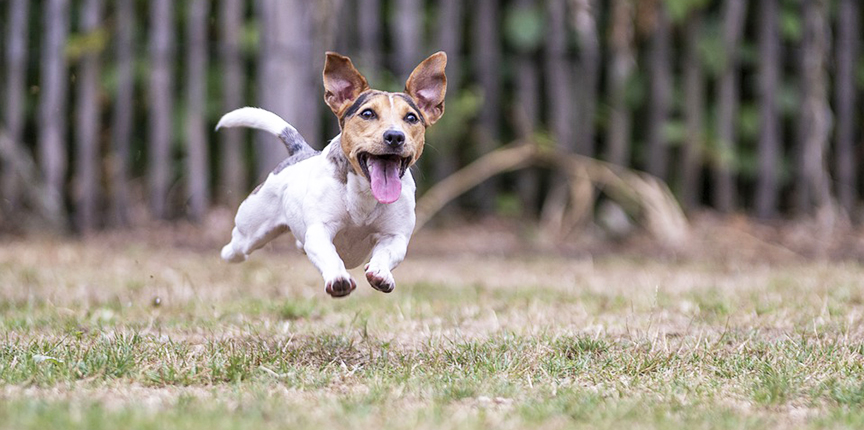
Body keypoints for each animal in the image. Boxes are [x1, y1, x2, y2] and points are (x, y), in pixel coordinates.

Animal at [216, 52, 448, 298]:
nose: (395, 136)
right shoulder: (320, 231)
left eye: (412, 118)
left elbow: (387, 253)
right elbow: (329, 254)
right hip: (249, 230)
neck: (365, 193)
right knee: (236, 248)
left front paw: (380, 273)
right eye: (368, 113)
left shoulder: (395, 236)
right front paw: (338, 279)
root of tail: (301, 151)